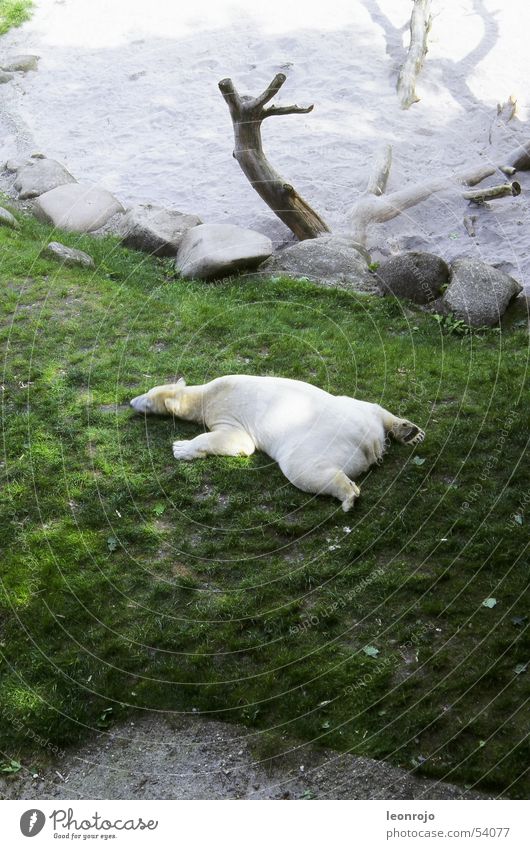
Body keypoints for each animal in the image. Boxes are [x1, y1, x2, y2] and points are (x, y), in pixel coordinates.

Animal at [129, 372, 424, 510]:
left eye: (147, 399)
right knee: (373, 407)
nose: (131, 402)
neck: (206, 394)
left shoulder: (226, 411)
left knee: (305, 470)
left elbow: (238, 442)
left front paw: (180, 447)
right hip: (356, 409)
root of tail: (369, 442)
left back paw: (348, 498)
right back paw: (408, 431)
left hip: (313, 444)